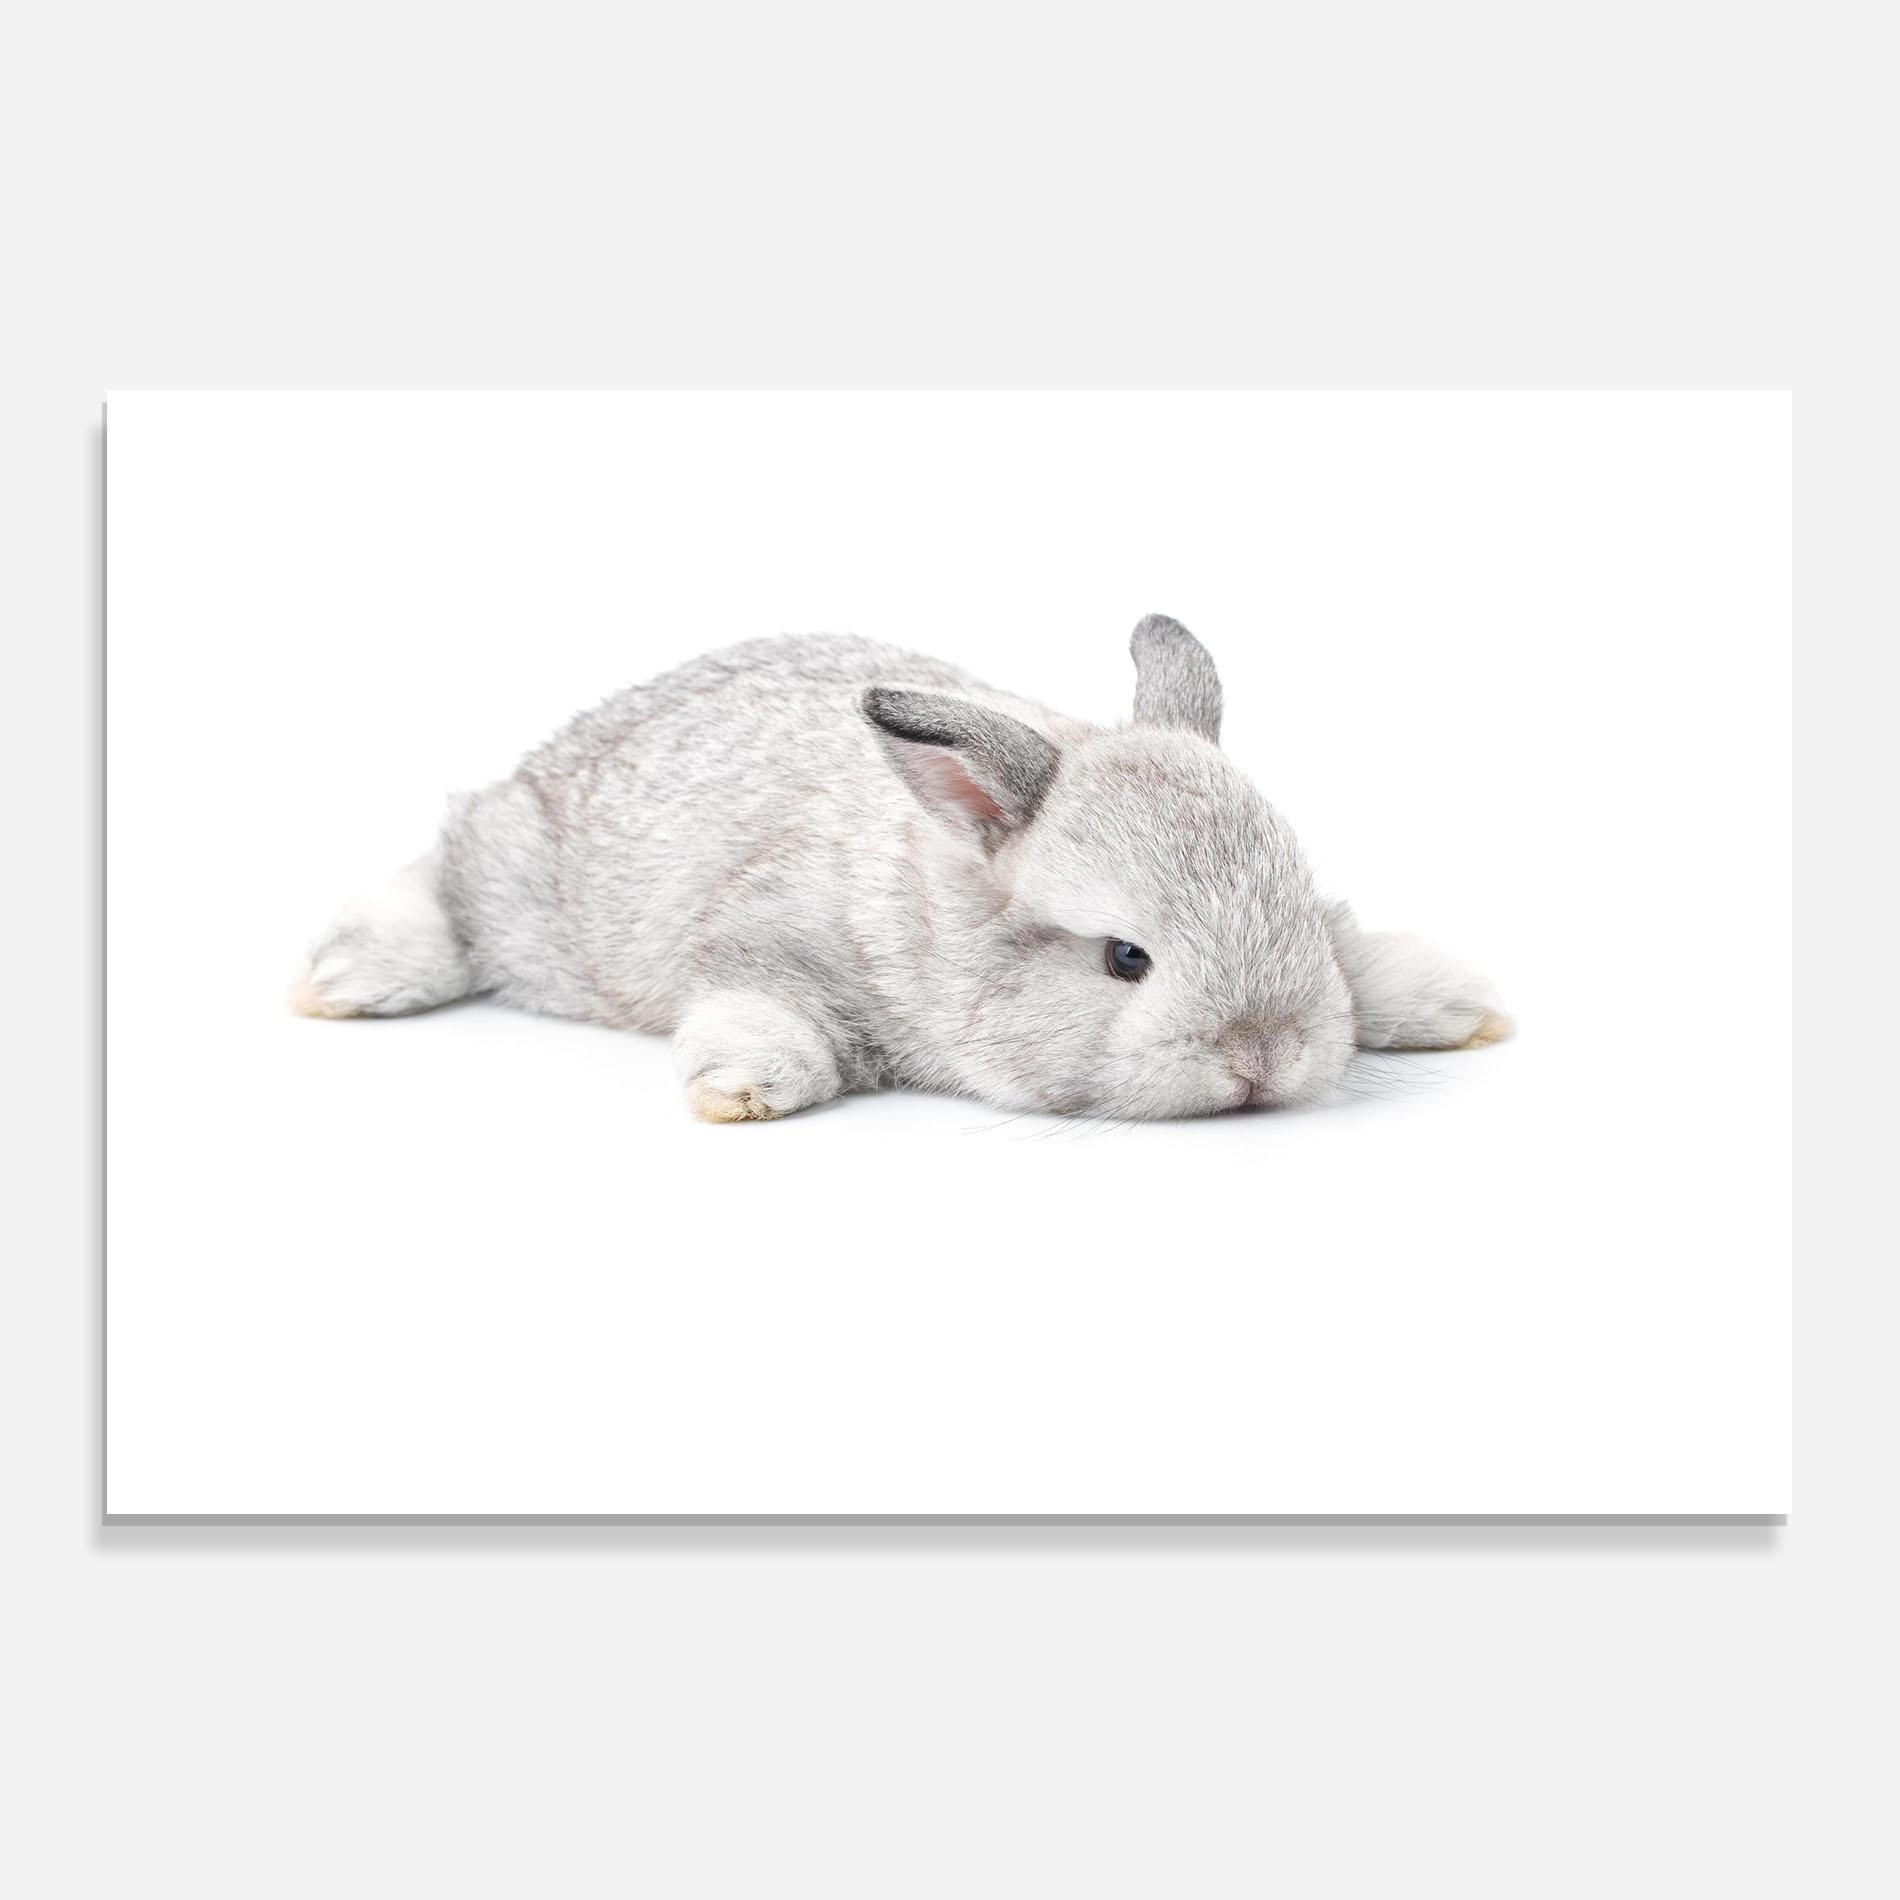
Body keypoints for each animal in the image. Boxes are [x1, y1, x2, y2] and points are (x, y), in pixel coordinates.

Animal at [292, 616, 1511, 1120]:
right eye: (1126, 958)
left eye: (1297, 911)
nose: (1262, 1056)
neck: (943, 907)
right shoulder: (765, 935)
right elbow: (759, 1005)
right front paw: (740, 1089)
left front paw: (1458, 1003)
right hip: (520, 885)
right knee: (445, 868)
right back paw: (349, 977)